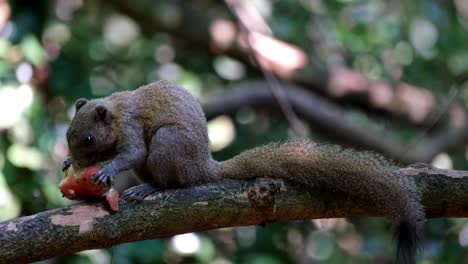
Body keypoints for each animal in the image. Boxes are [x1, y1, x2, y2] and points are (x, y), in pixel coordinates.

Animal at [64, 80, 426, 264]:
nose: (75, 158)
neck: (115, 110)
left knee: (173, 182)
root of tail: (203, 167)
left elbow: (132, 152)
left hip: (168, 144)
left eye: (88, 138)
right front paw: (70, 164)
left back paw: (149, 188)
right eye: (68, 134)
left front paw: (106, 170)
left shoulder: (131, 126)